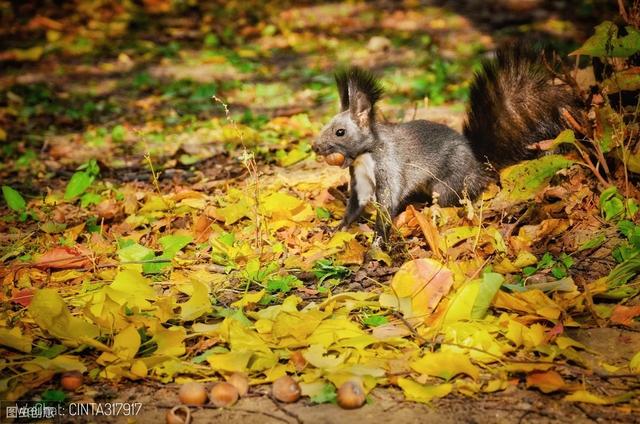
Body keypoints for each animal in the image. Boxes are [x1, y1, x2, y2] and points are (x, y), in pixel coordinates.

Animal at [312, 45, 584, 245]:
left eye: (340, 132)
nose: (315, 147)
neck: (365, 155)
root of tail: (479, 166)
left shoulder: (389, 166)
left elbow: (388, 204)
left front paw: (378, 243)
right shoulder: (360, 177)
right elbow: (356, 204)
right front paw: (338, 228)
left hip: (448, 183)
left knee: (449, 200)